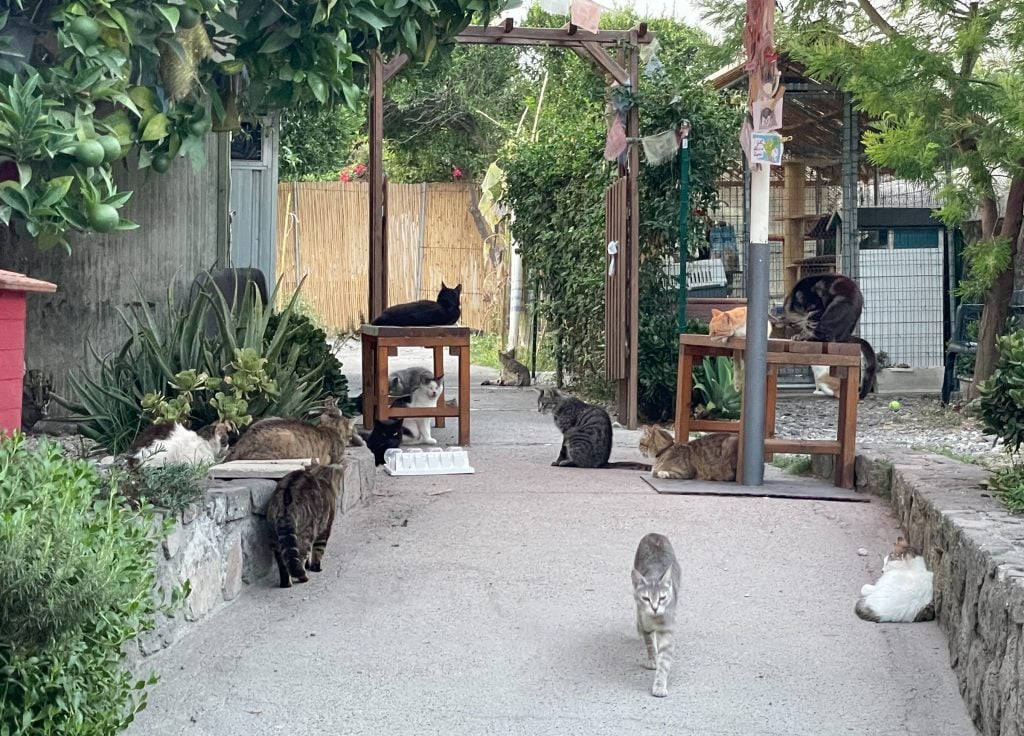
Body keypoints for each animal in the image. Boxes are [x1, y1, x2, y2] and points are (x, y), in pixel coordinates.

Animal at [630, 536, 679, 696]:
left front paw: (659, 685)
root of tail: (653, 534)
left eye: (662, 598)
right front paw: (652, 660)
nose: (655, 608)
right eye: (646, 598)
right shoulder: (645, 623)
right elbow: (650, 644)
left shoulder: (667, 630)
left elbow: (664, 661)